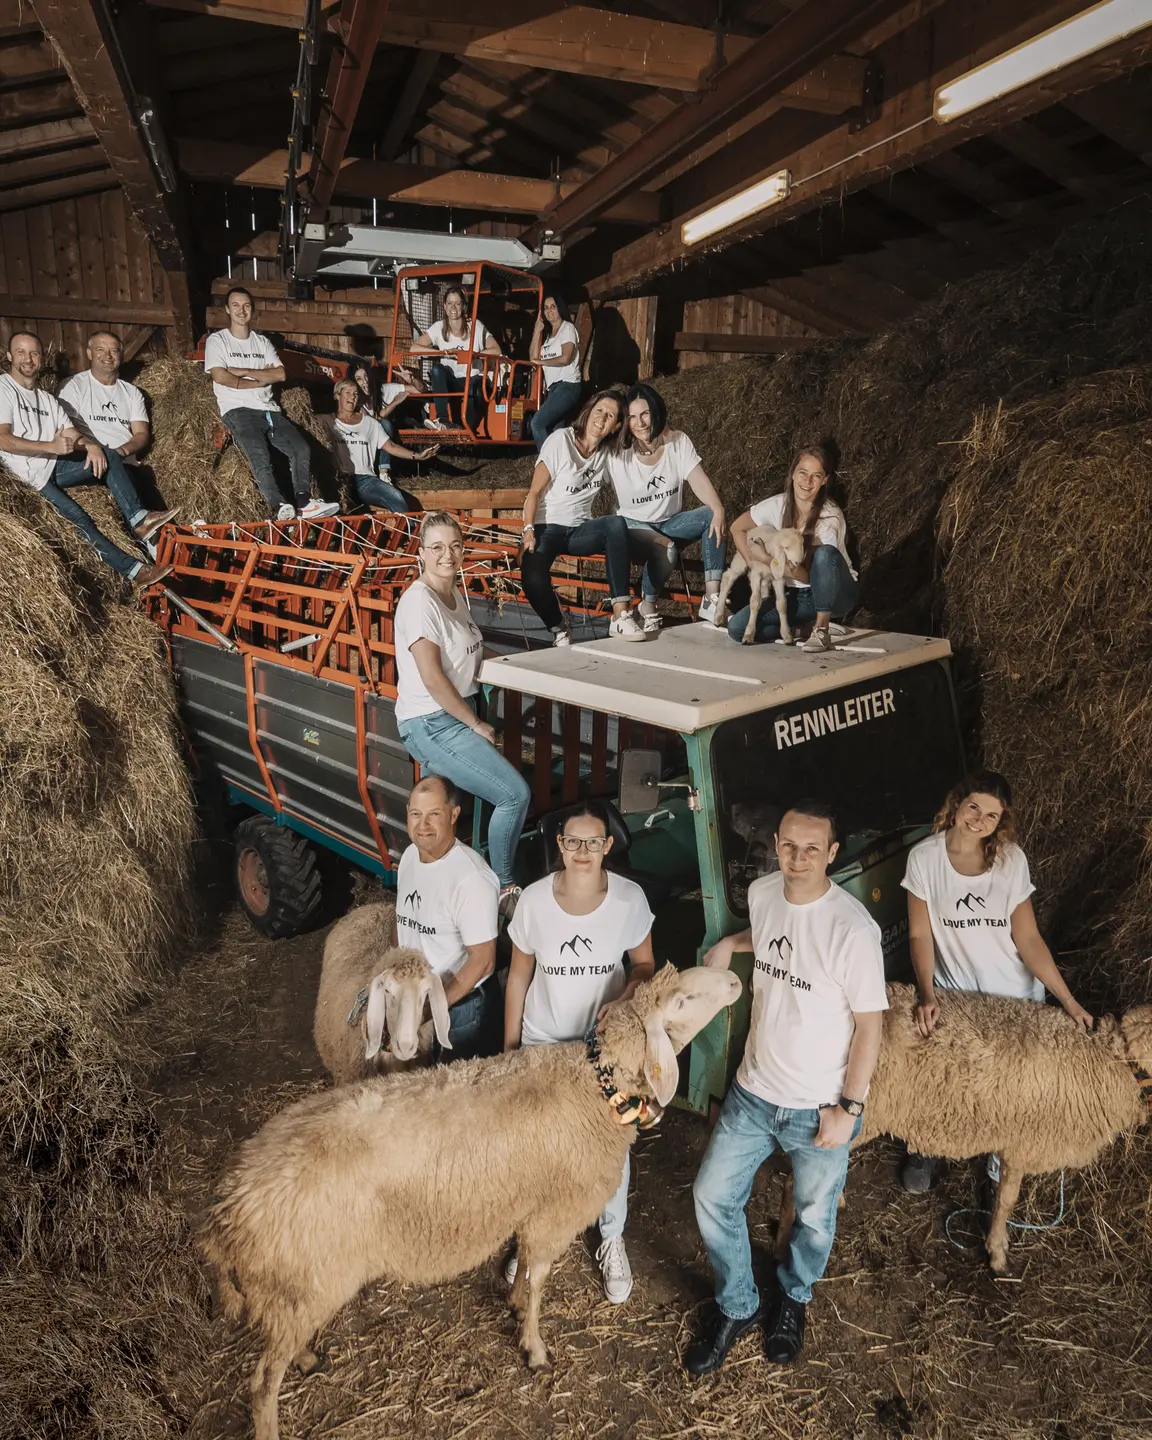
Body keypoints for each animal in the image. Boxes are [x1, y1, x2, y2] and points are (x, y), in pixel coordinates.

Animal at [200, 961, 737, 1440]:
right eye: (684, 999)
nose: (734, 979)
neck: (591, 1084)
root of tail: (228, 1207)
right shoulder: (554, 1212)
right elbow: (540, 1280)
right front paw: (534, 1347)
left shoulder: (531, 1206)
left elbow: (525, 1270)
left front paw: (515, 1305)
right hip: (305, 1280)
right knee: (262, 1382)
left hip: (295, 1291)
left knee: (281, 1345)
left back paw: (307, 1357)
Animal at [771, 984, 1152, 1278]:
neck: (1106, 1061)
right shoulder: (1021, 1143)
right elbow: (1007, 1201)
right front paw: (997, 1254)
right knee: (794, 1180)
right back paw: (781, 1243)